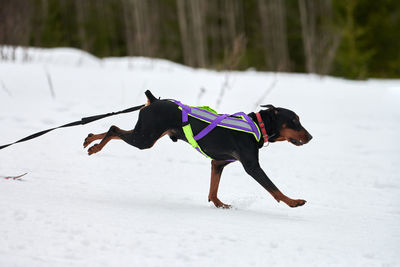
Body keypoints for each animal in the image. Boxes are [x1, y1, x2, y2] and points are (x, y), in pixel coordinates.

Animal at [83, 91, 310, 210]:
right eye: (294, 121)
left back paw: (90, 140)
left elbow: (213, 190)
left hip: (145, 133)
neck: (256, 126)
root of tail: (153, 100)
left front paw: (220, 204)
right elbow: (274, 189)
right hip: (144, 139)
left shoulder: (218, 163)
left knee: (113, 129)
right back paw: (95, 147)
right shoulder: (252, 166)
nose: (310, 137)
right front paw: (293, 201)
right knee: (113, 128)